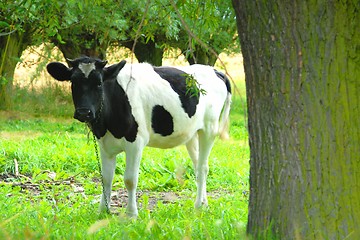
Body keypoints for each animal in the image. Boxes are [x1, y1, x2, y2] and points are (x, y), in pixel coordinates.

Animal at [46, 56, 232, 218]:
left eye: (99, 83)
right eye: (73, 82)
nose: (84, 112)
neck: (107, 124)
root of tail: (214, 70)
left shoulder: (135, 142)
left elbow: (130, 179)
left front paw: (131, 214)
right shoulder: (104, 144)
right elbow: (106, 178)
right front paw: (103, 211)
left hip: (209, 129)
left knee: (203, 167)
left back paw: (198, 205)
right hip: (191, 134)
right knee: (198, 166)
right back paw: (204, 202)